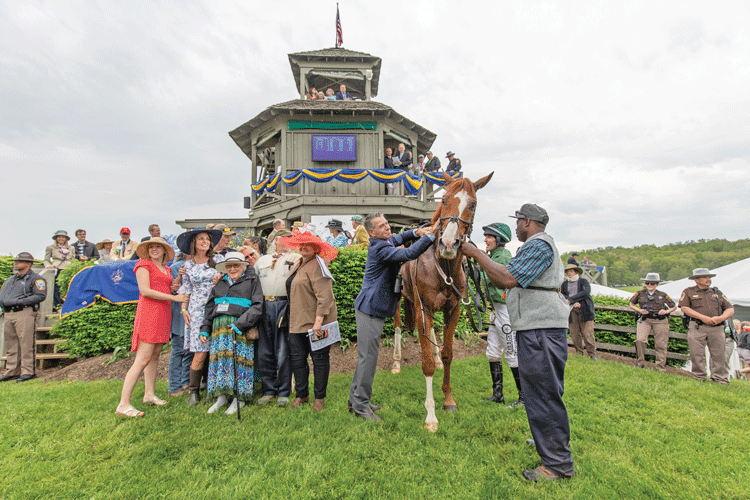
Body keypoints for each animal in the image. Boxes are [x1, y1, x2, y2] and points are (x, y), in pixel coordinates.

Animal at [400, 172, 494, 430]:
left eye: (472, 204)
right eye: (444, 200)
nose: (449, 244)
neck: (443, 266)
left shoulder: (453, 310)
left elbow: (448, 354)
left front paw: (448, 399)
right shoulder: (423, 310)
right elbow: (426, 364)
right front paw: (430, 415)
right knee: (397, 329)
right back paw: (395, 364)